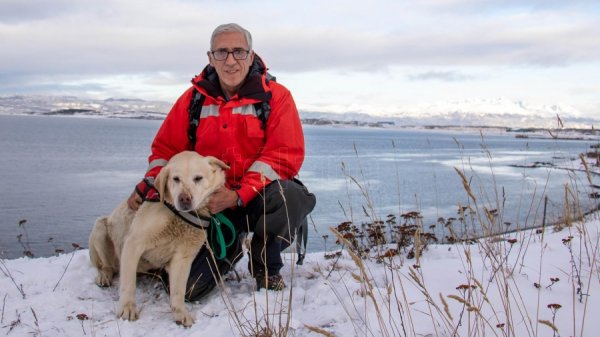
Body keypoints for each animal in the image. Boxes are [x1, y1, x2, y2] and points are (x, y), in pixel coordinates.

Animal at [88, 151, 229, 324]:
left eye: (198, 178)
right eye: (176, 179)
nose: (184, 199)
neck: (178, 217)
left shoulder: (183, 257)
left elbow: (178, 291)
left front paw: (180, 313)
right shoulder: (133, 245)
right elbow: (128, 284)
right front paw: (127, 308)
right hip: (100, 228)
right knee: (106, 266)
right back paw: (104, 276)